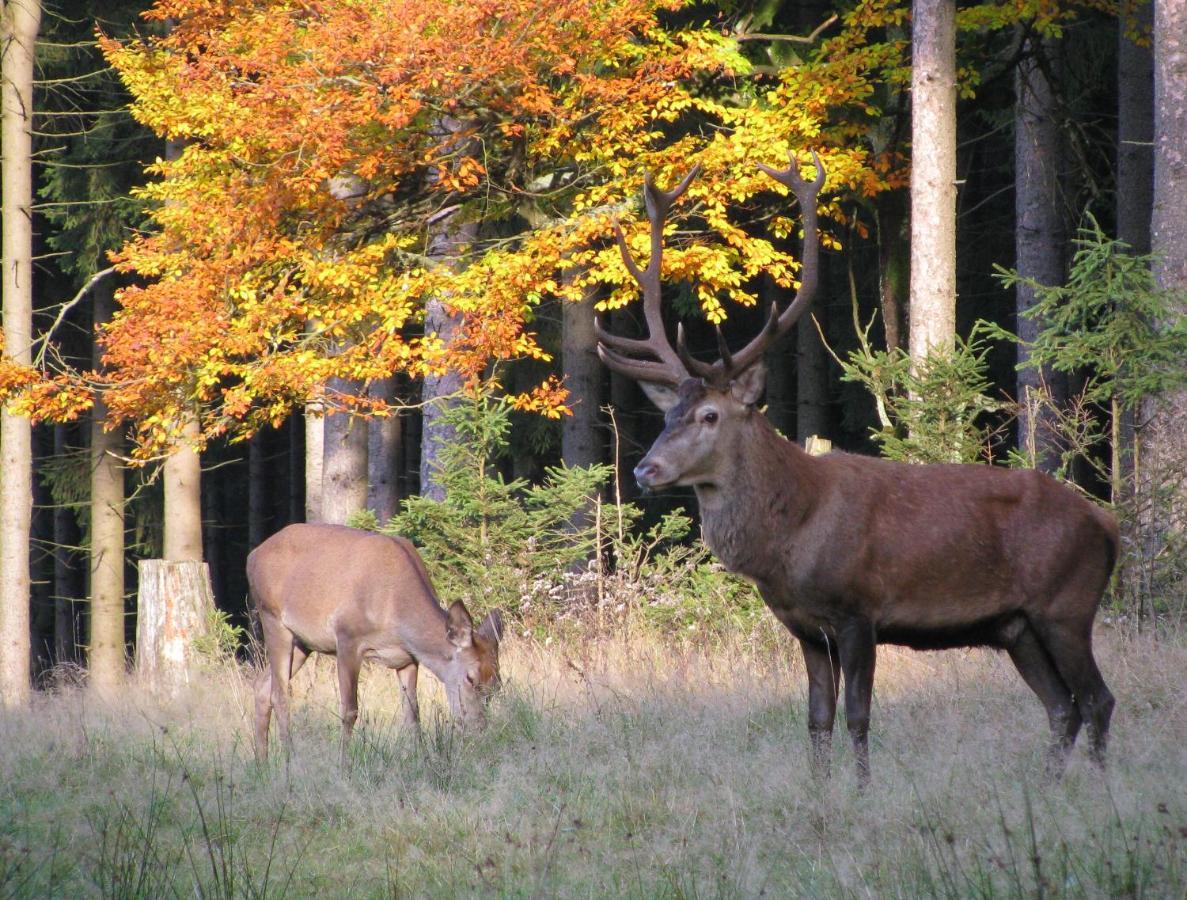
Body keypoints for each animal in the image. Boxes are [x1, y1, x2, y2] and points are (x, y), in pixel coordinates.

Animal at [248, 522, 498, 769]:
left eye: (496, 684)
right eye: (470, 678)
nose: (479, 728)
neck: (396, 610)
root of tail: (253, 556)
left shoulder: (407, 659)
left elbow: (412, 714)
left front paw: (422, 760)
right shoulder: (347, 638)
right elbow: (350, 710)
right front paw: (344, 766)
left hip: (302, 643)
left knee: (262, 686)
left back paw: (262, 765)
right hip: (272, 618)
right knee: (279, 695)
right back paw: (291, 763)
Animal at [598, 159, 1115, 788]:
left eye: (709, 415)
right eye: (667, 414)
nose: (645, 469)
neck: (791, 540)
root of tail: (1108, 527)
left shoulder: (859, 610)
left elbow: (858, 717)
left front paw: (863, 792)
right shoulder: (804, 627)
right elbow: (817, 718)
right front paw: (819, 793)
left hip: (1066, 605)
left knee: (1097, 700)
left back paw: (1098, 788)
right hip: (1018, 626)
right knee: (1062, 706)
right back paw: (1049, 787)